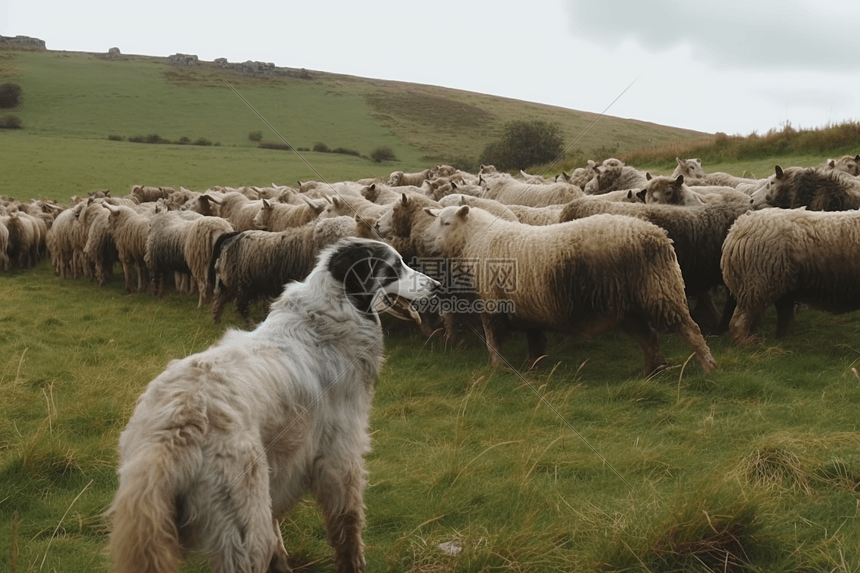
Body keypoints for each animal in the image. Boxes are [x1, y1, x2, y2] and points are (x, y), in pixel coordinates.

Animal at [108, 238, 440, 572]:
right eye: (395, 266)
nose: (437, 286)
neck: (330, 315)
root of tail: (176, 427)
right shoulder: (340, 456)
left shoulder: (282, 465)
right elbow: (348, 525)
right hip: (244, 525)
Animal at [424, 203, 720, 374]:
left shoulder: (493, 304)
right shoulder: (528, 308)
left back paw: (709, 368)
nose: (428, 245)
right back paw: (651, 372)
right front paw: (534, 369)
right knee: (651, 338)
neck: (478, 240)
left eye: (447, 222)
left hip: (661, 292)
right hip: (628, 309)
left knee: (691, 330)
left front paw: (497, 369)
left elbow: (493, 341)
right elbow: (535, 342)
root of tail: (660, 236)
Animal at [724, 208, 860, 346]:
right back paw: (748, 342)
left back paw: (784, 341)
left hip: (781, 288)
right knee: (739, 320)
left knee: (783, 318)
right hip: (757, 284)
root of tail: (737, 228)